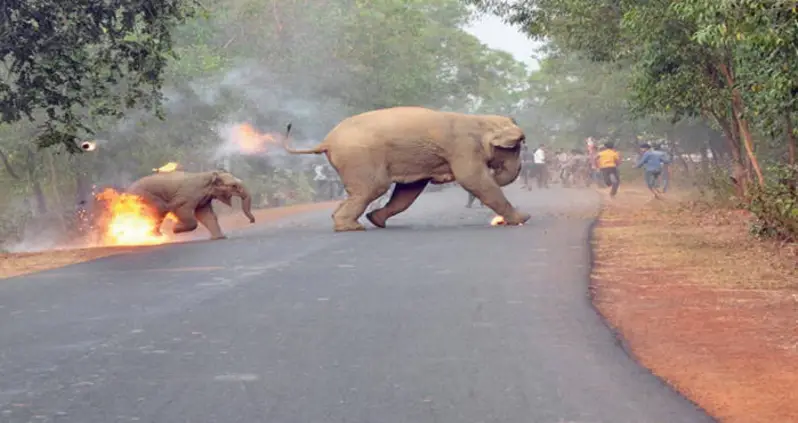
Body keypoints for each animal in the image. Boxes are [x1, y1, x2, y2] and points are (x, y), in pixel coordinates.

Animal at [127, 170, 256, 242]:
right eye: (234, 186)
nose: (252, 221)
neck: (209, 175)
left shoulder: (203, 199)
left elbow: (207, 215)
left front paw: (219, 238)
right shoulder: (187, 195)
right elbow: (182, 210)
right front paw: (175, 228)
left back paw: (155, 236)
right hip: (145, 197)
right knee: (158, 211)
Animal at [282, 106, 532, 232]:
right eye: (517, 146)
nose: (496, 172)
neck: (480, 121)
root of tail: (326, 142)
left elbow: (409, 191)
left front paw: (376, 219)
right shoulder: (463, 148)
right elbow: (473, 179)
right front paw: (522, 219)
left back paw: (361, 223)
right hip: (360, 158)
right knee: (373, 188)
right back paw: (350, 227)